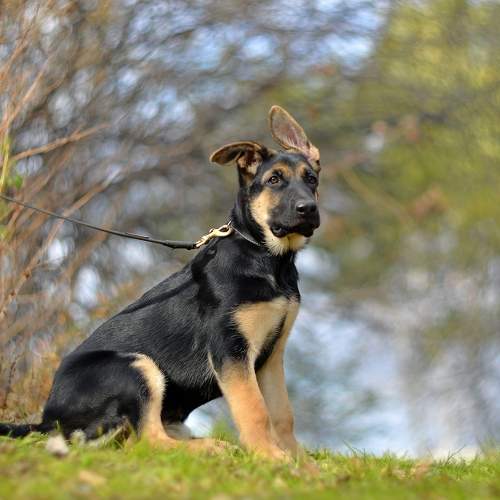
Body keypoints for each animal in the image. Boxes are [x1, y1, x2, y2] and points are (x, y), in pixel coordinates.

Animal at [0, 106, 321, 460]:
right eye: (274, 180)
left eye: (311, 179)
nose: (308, 209)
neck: (267, 257)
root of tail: (47, 421)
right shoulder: (230, 350)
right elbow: (254, 410)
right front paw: (269, 457)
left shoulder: (271, 356)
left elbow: (282, 415)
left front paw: (301, 463)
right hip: (135, 366)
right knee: (148, 439)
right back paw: (210, 448)